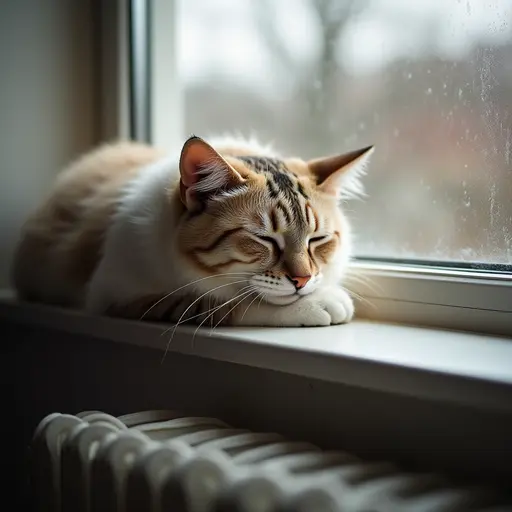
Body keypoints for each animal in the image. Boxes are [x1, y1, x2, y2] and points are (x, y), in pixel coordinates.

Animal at [11, 135, 372, 328]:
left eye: (318, 240)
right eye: (264, 239)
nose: (303, 279)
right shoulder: (116, 295)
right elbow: (228, 303)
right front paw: (317, 303)